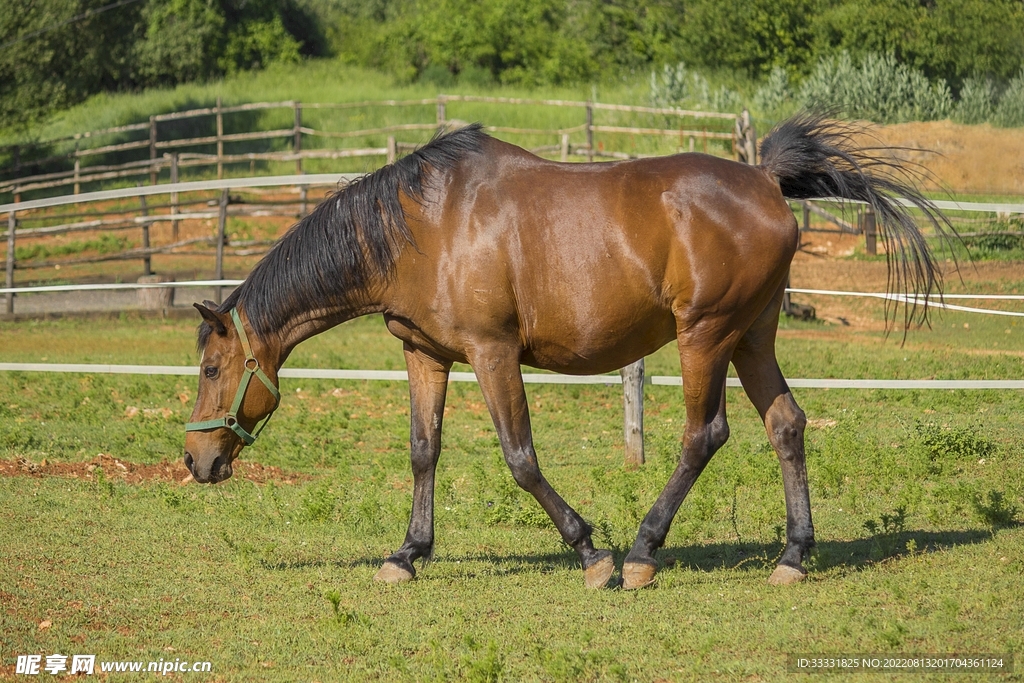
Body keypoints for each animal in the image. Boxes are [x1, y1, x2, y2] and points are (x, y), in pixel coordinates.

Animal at [184, 113, 949, 590]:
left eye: (212, 367)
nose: (196, 461)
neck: (424, 227)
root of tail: (764, 180)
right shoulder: (426, 355)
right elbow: (424, 451)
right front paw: (407, 553)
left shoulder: (492, 353)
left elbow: (520, 457)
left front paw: (590, 552)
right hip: (751, 336)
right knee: (786, 425)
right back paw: (792, 555)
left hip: (706, 335)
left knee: (704, 433)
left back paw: (642, 551)